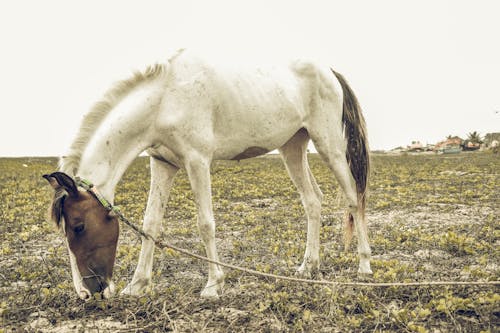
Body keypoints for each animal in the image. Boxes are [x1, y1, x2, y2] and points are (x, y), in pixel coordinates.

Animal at [44, 48, 372, 300]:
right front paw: (137, 285)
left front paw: (214, 285)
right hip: (292, 147)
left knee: (353, 199)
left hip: (330, 146)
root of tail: (329, 71)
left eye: (78, 226)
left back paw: (364, 267)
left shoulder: (197, 161)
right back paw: (308, 267)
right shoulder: (162, 163)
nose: (87, 293)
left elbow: (205, 224)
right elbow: (151, 223)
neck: (164, 99)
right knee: (312, 201)